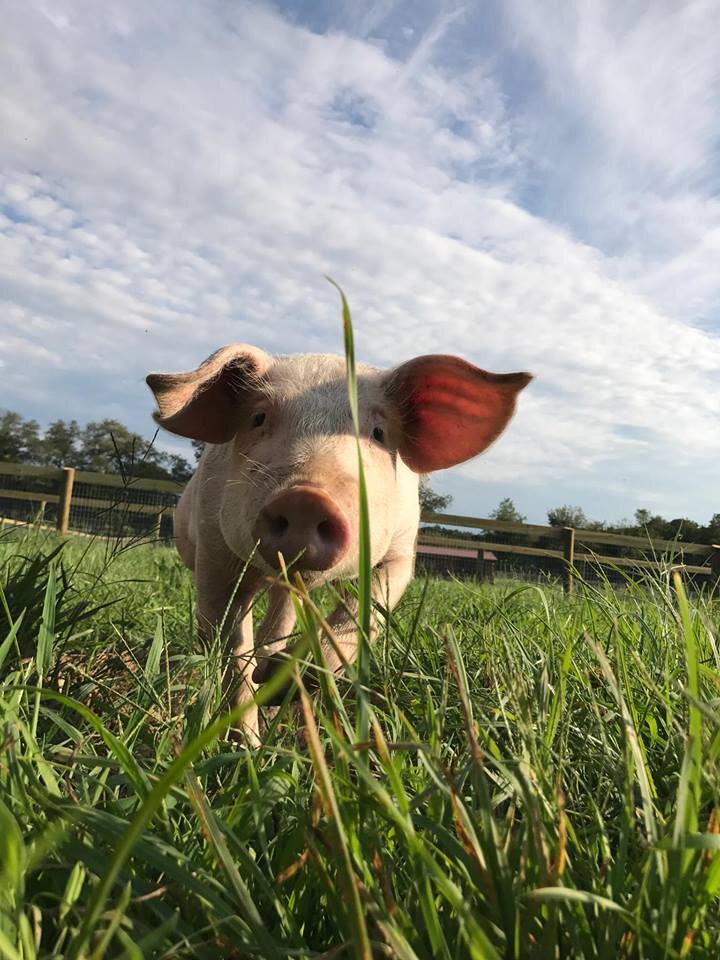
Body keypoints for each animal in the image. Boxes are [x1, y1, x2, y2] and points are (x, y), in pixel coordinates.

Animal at [146, 345, 531, 744]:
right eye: (258, 417)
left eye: (379, 433)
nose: (305, 499)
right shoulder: (214, 553)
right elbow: (230, 652)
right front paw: (245, 743)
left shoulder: (400, 552)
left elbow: (364, 612)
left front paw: (282, 681)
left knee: (280, 618)